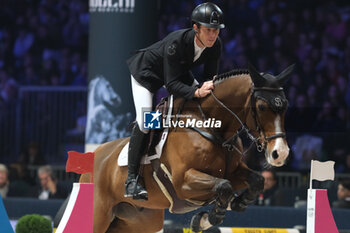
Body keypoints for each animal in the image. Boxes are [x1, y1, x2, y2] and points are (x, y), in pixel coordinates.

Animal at [80, 63, 296, 233]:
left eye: (286, 106)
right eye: (261, 107)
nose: (280, 153)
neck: (212, 127)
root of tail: (93, 155)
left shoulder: (233, 171)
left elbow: (256, 180)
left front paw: (236, 204)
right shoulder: (183, 181)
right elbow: (223, 186)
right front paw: (208, 218)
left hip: (138, 221)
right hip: (99, 216)